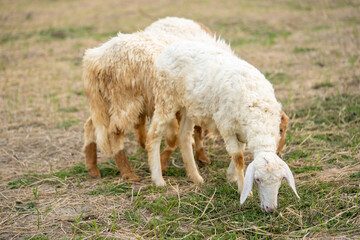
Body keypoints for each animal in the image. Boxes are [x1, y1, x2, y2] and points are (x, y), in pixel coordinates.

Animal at [149, 40, 298, 213]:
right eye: (258, 179)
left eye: (281, 180)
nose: (271, 209)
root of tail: (170, 47)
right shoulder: (227, 127)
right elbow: (238, 157)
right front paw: (243, 188)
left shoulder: (241, 131)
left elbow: (240, 152)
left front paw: (231, 176)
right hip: (166, 97)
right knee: (153, 134)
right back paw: (158, 179)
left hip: (188, 106)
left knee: (184, 136)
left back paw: (195, 177)